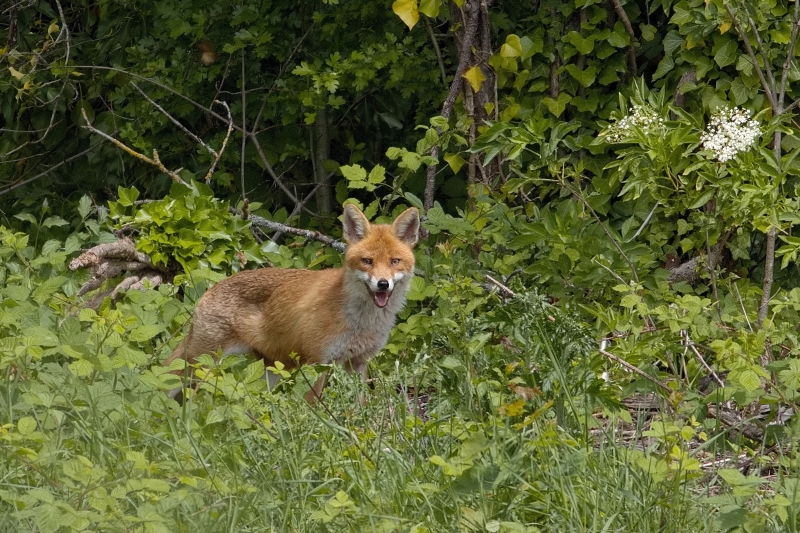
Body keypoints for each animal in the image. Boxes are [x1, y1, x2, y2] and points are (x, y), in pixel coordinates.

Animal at [165, 203, 422, 400]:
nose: (382, 284)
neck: (361, 322)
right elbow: (314, 406)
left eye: (395, 261)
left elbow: (360, 406)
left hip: (269, 369)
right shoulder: (317, 363)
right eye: (367, 261)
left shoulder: (359, 362)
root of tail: (209, 288)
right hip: (203, 363)